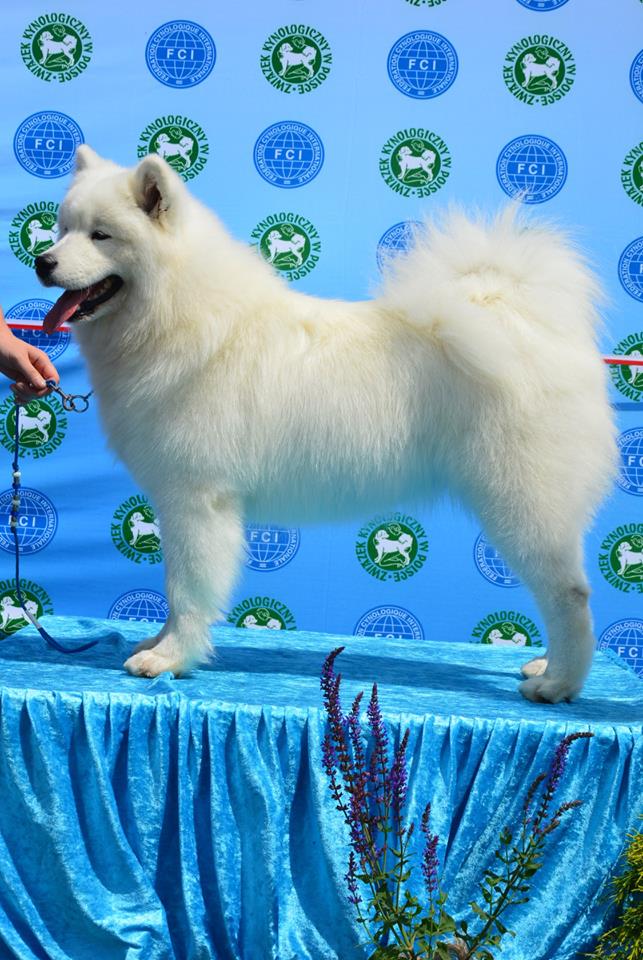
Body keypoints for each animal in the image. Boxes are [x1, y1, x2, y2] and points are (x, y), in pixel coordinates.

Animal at [35, 145, 617, 702]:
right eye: (62, 228)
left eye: (101, 235)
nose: (42, 260)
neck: (179, 315)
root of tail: (525, 321)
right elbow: (178, 588)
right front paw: (158, 644)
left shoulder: (196, 499)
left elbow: (186, 589)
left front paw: (170, 658)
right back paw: (545, 666)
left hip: (521, 504)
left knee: (570, 595)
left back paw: (558, 684)